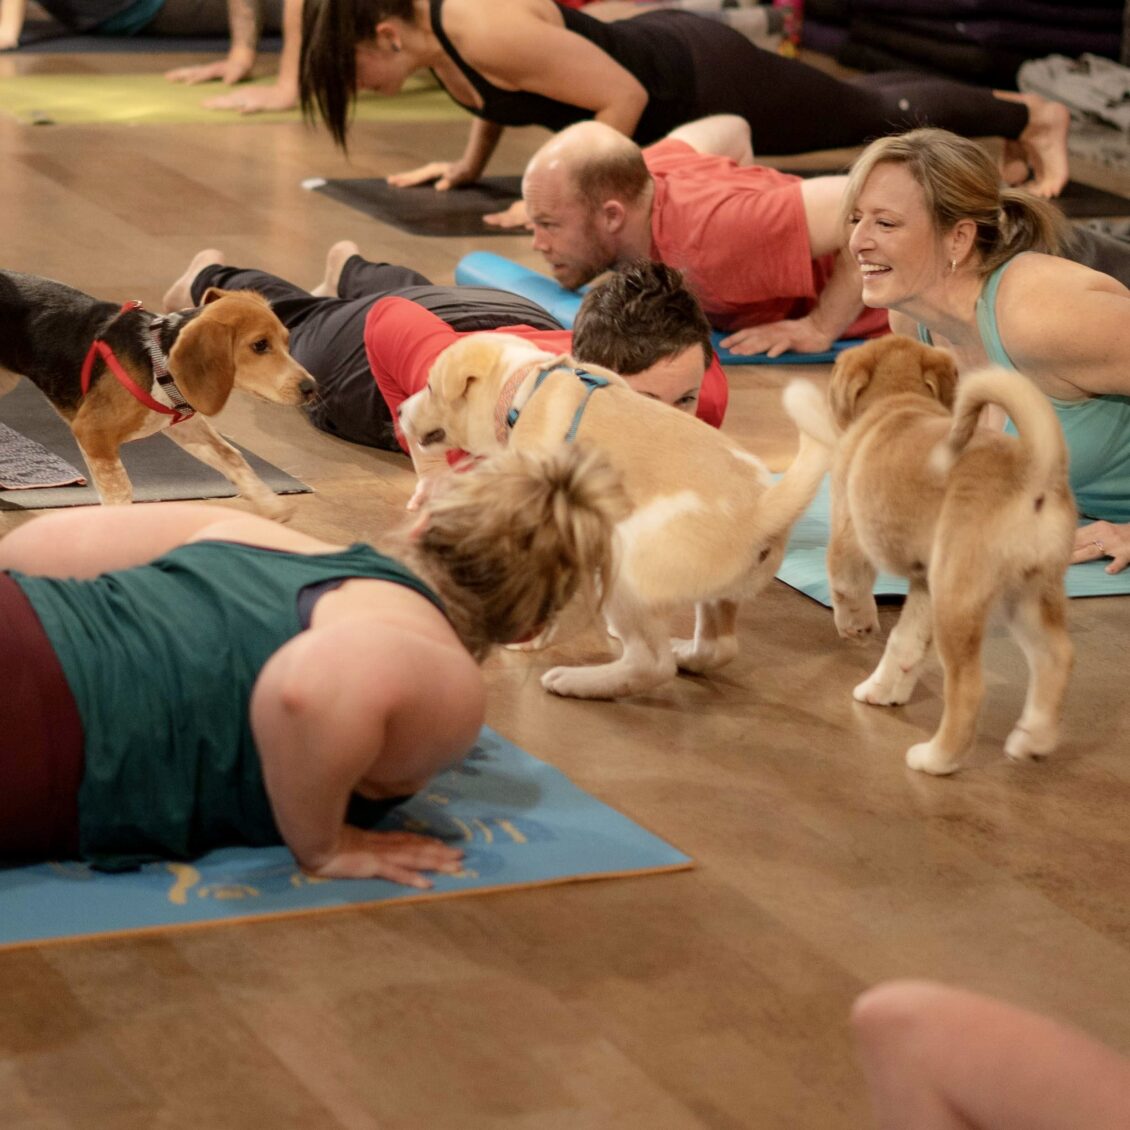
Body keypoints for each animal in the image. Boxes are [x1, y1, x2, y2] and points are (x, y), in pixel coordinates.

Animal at [400, 329, 831, 696]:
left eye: (429, 387)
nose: (402, 410)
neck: (523, 391)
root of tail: (762, 507)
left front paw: (531, 638)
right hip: (717, 596)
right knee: (719, 647)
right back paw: (683, 653)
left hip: (628, 570)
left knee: (651, 664)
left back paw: (580, 682)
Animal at [781, 332, 1071, 777]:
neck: (898, 401)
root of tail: (1031, 470)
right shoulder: (923, 583)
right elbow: (906, 643)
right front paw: (882, 689)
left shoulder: (849, 535)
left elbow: (847, 587)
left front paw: (857, 627)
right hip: (1027, 595)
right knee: (1056, 658)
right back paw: (1031, 740)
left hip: (959, 599)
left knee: (968, 690)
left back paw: (936, 759)